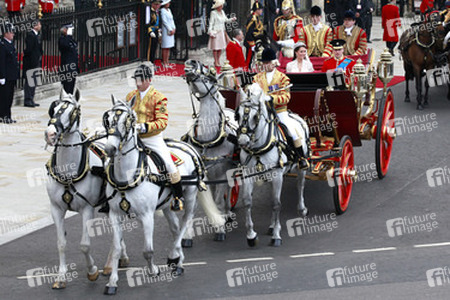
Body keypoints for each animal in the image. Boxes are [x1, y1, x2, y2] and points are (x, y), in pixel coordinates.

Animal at [44, 88, 129, 288]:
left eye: (72, 111)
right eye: (54, 109)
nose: (50, 134)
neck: (68, 171)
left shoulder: (87, 209)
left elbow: (84, 245)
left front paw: (92, 272)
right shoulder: (56, 209)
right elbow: (61, 243)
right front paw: (61, 277)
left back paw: (113, 262)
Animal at [102, 96, 221, 296]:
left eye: (128, 120)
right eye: (107, 119)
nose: (110, 149)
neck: (128, 175)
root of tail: (187, 145)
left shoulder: (147, 215)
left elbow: (148, 250)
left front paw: (153, 270)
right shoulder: (114, 215)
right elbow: (117, 249)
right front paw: (112, 283)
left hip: (189, 197)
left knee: (184, 223)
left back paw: (175, 258)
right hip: (166, 205)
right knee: (175, 228)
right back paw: (178, 260)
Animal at [183, 60, 239, 241]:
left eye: (211, 74)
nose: (191, 62)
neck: (208, 140)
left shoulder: (222, 173)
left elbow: (220, 200)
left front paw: (220, 228)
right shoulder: (199, 174)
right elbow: (193, 206)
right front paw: (187, 235)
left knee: (228, 191)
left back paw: (227, 214)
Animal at [236, 84, 310, 246]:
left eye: (255, 116)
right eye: (237, 115)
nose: (243, 142)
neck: (258, 148)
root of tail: (295, 115)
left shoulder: (277, 175)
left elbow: (276, 204)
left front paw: (276, 235)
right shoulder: (249, 175)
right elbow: (247, 202)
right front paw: (251, 235)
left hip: (300, 167)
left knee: (300, 186)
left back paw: (301, 209)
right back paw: (270, 226)